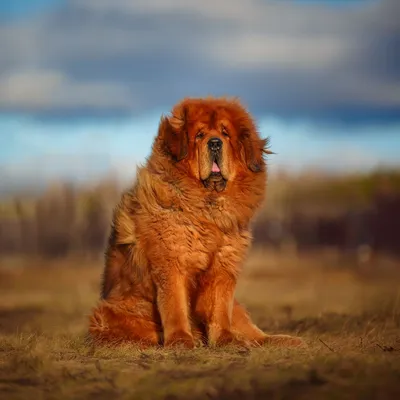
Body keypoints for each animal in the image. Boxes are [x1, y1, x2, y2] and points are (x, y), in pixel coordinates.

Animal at [89, 97, 304, 346]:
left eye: (225, 134)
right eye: (200, 135)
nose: (215, 143)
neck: (207, 208)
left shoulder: (223, 267)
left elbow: (220, 308)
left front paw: (226, 340)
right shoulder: (172, 263)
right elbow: (175, 306)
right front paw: (181, 341)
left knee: (255, 332)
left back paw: (284, 340)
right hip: (113, 311)